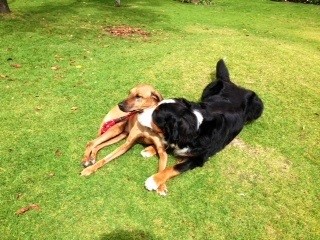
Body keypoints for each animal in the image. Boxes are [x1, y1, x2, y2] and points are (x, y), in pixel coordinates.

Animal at [141, 58, 264, 193]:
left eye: (155, 115)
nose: (139, 111)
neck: (196, 127)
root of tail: (231, 83)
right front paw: (150, 149)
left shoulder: (198, 158)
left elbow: (175, 167)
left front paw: (154, 180)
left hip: (258, 105)